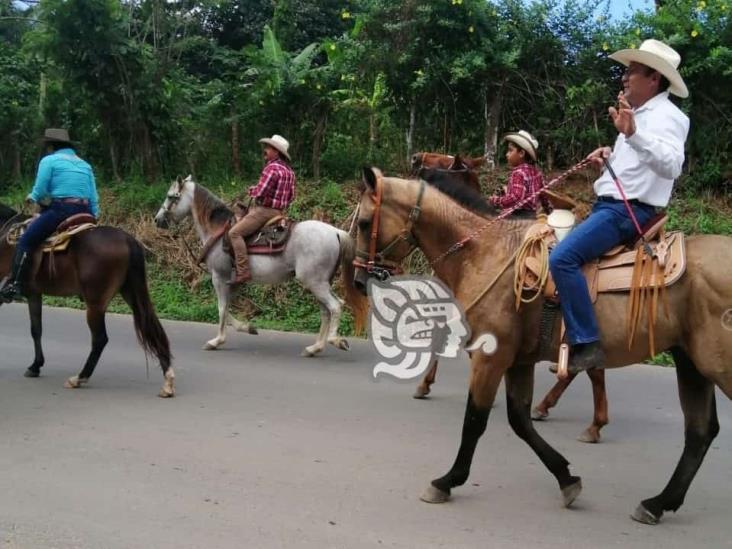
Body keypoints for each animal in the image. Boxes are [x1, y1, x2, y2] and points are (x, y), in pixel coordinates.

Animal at [0, 203, 174, 396]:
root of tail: (128, 240)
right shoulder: (34, 294)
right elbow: (36, 329)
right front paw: (36, 365)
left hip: (95, 304)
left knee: (100, 339)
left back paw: (79, 378)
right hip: (131, 293)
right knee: (152, 327)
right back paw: (168, 381)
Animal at [154, 176, 366, 356]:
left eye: (171, 196)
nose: (157, 219)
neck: (218, 230)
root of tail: (336, 232)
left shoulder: (219, 277)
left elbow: (221, 308)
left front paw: (217, 341)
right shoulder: (233, 282)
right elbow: (227, 309)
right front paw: (248, 328)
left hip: (315, 283)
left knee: (335, 306)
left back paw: (334, 341)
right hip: (319, 283)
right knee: (326, 311)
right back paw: (314, 348)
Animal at [352, 166, 728, 524]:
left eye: (365, 223)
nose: (358, 280)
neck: (484, 251)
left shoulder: (491, 357)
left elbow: (474, 420)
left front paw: (447, 481)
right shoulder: (518, 361)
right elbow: (519, 420)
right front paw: (566, 478)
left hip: (715, 364)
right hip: (690, 363)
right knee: (699, 432)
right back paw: (658, 503)